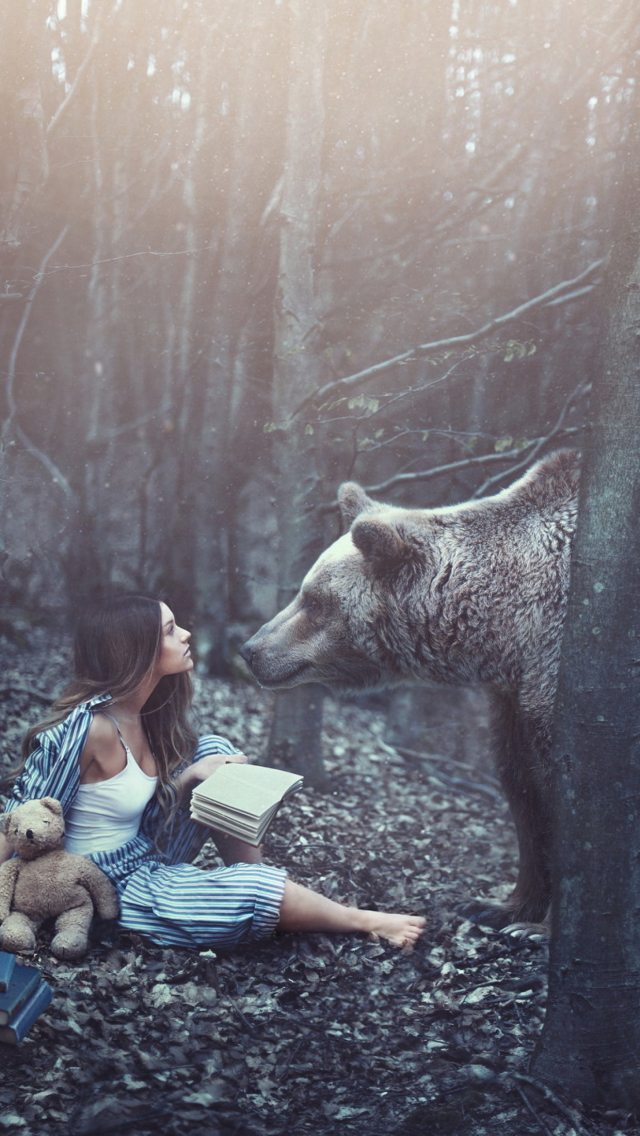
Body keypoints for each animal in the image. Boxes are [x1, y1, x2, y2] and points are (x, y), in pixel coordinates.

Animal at [242, 447, 582, 926]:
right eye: (303, 592)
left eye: (314, 600)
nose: (251, 649)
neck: (508, 628)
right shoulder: (515, 692)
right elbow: (522, 782)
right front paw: (502, 906)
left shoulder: (553, 665)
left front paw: (540, 928)